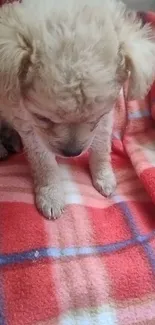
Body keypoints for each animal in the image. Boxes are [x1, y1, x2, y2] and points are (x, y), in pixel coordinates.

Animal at [0, 0, 154, 218]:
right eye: (42, 118)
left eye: (97, 118)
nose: (72, 153)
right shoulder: (29, 126)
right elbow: (44, 161)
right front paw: (51, 195)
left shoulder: (106, 119)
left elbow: (101, 147)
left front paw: (104, 176)